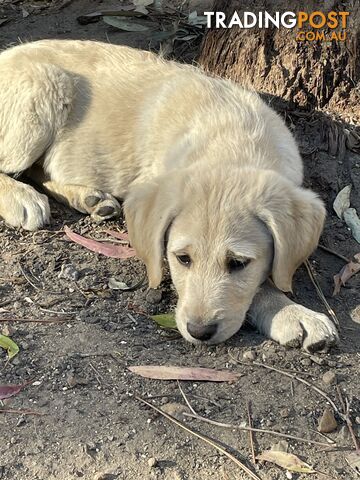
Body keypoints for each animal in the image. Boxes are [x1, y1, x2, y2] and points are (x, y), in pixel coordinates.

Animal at [0, 39, 338, 350]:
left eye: (238, 263)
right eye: (182, 259)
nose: (199, 331)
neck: (232, 139)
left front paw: (289, 310)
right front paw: (290, 311)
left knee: (41, 170)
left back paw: (89, 199)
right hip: (41, 92)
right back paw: (21, 198)